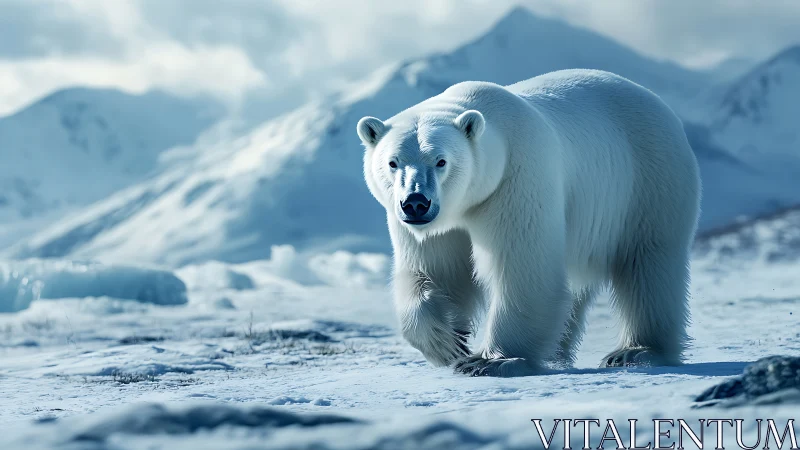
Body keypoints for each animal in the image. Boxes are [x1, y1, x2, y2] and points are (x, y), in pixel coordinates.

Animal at [356, 69, 701, 377]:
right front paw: (447, 343)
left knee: (648, 264)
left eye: (441, 161)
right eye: (393, 162)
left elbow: (521, 268)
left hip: (646, 182)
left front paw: (491, 361)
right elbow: (434, 270)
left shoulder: (516, 179)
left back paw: (636, 351)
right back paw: (561, 349)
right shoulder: (432, 225)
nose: (416, 202)